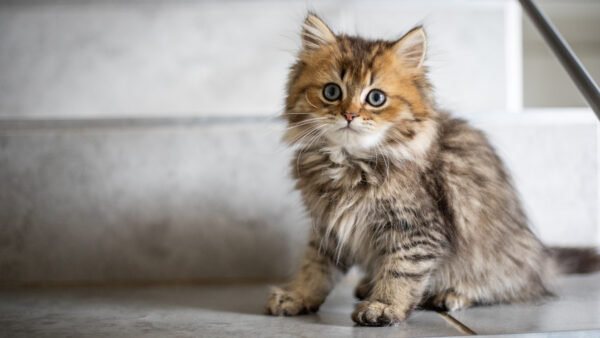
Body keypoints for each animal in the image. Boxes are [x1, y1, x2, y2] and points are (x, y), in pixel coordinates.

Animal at [268, 13, 600, 328]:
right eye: (331, 92)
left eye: (376, 98)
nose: (349, 115)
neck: (349, 163)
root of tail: (541, 258)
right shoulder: (327, 227)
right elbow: (315, 267)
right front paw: (298, 296)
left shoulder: (416, 228)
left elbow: (400, 271)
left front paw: (384, 306)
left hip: (499, 259)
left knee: (509, 287)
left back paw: (452, 294)